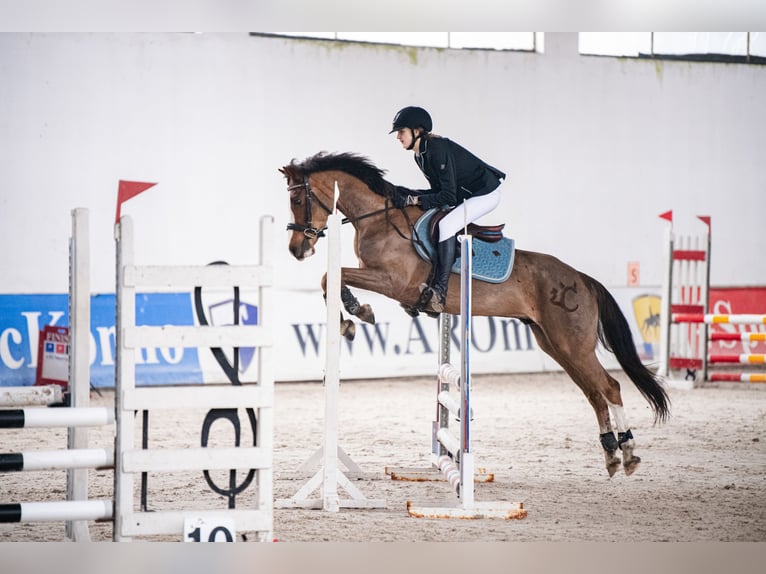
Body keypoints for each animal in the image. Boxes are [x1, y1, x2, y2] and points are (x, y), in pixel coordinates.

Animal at [280, 151, 670, 477]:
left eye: (298, 200)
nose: (297, 249)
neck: (380, 221)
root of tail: (583, 280)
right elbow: (330, 278)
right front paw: (352, 318)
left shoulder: (393, 282)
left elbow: (332, 276)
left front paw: (356, 314)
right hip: (555, 345)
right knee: (594, 393)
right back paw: (612, 455)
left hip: (572, 344)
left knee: (609, 386)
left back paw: (628, 452)